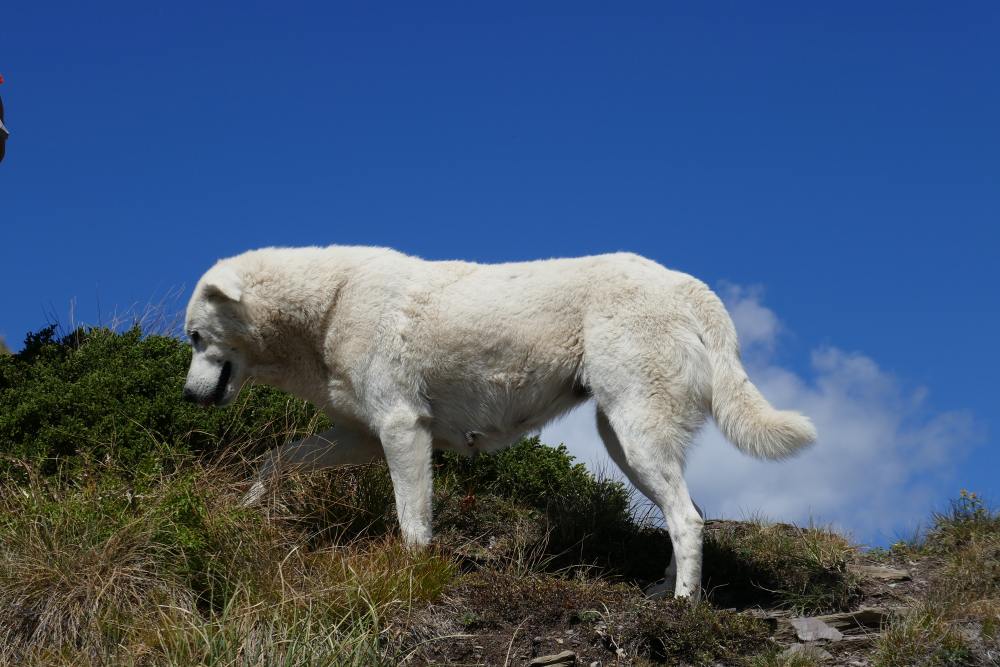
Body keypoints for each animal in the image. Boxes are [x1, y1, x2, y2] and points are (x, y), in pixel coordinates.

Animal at [186, 247, 812, 600]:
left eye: (194, 337)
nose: (189, 397)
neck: (331, 303)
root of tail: (689, 286)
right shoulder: (362, 435)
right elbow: (277, 460)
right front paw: (247, 508)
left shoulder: (402, 429)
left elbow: (412, 522)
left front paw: (412, 577)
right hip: (624, 441)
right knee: (691, 514)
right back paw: (664, 591)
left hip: (636, 433)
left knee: (686, 518)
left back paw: (684, 606)